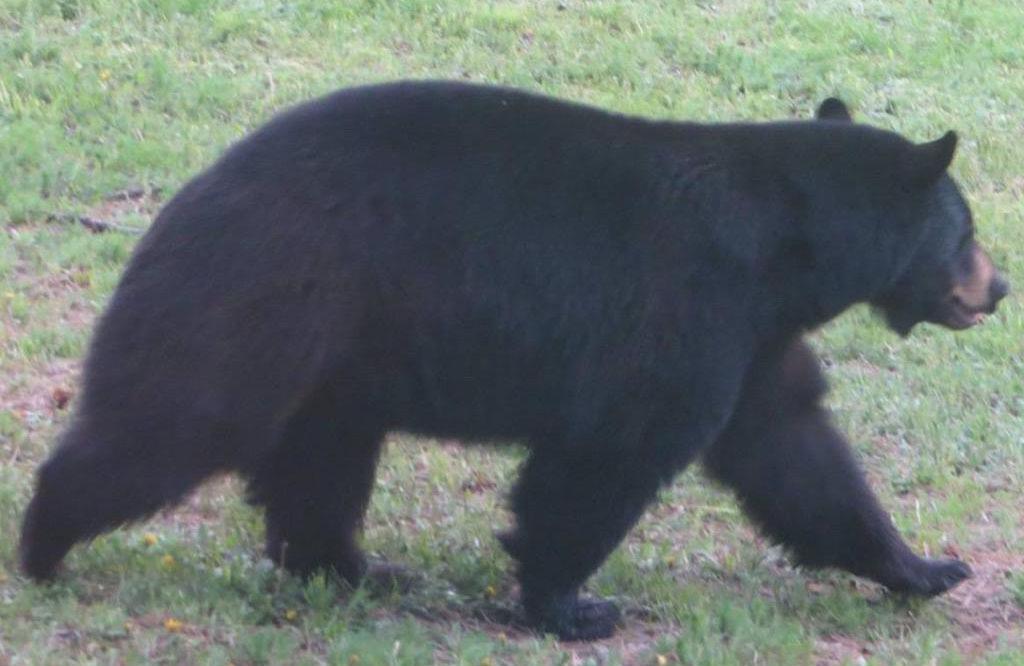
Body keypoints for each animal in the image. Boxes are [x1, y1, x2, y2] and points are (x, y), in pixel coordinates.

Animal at [20, 81, 1009, 640]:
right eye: (966, 230)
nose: (997, 288)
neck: (782, 250)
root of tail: (193, 190)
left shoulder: (753, 339)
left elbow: (795, 451)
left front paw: (925, 569)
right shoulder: (688, 307)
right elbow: (612, 454)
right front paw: (570, 607)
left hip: (338, 353)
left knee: (321, 460)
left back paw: (355, 568)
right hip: (262, 299)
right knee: (178, 417)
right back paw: (43, 545)